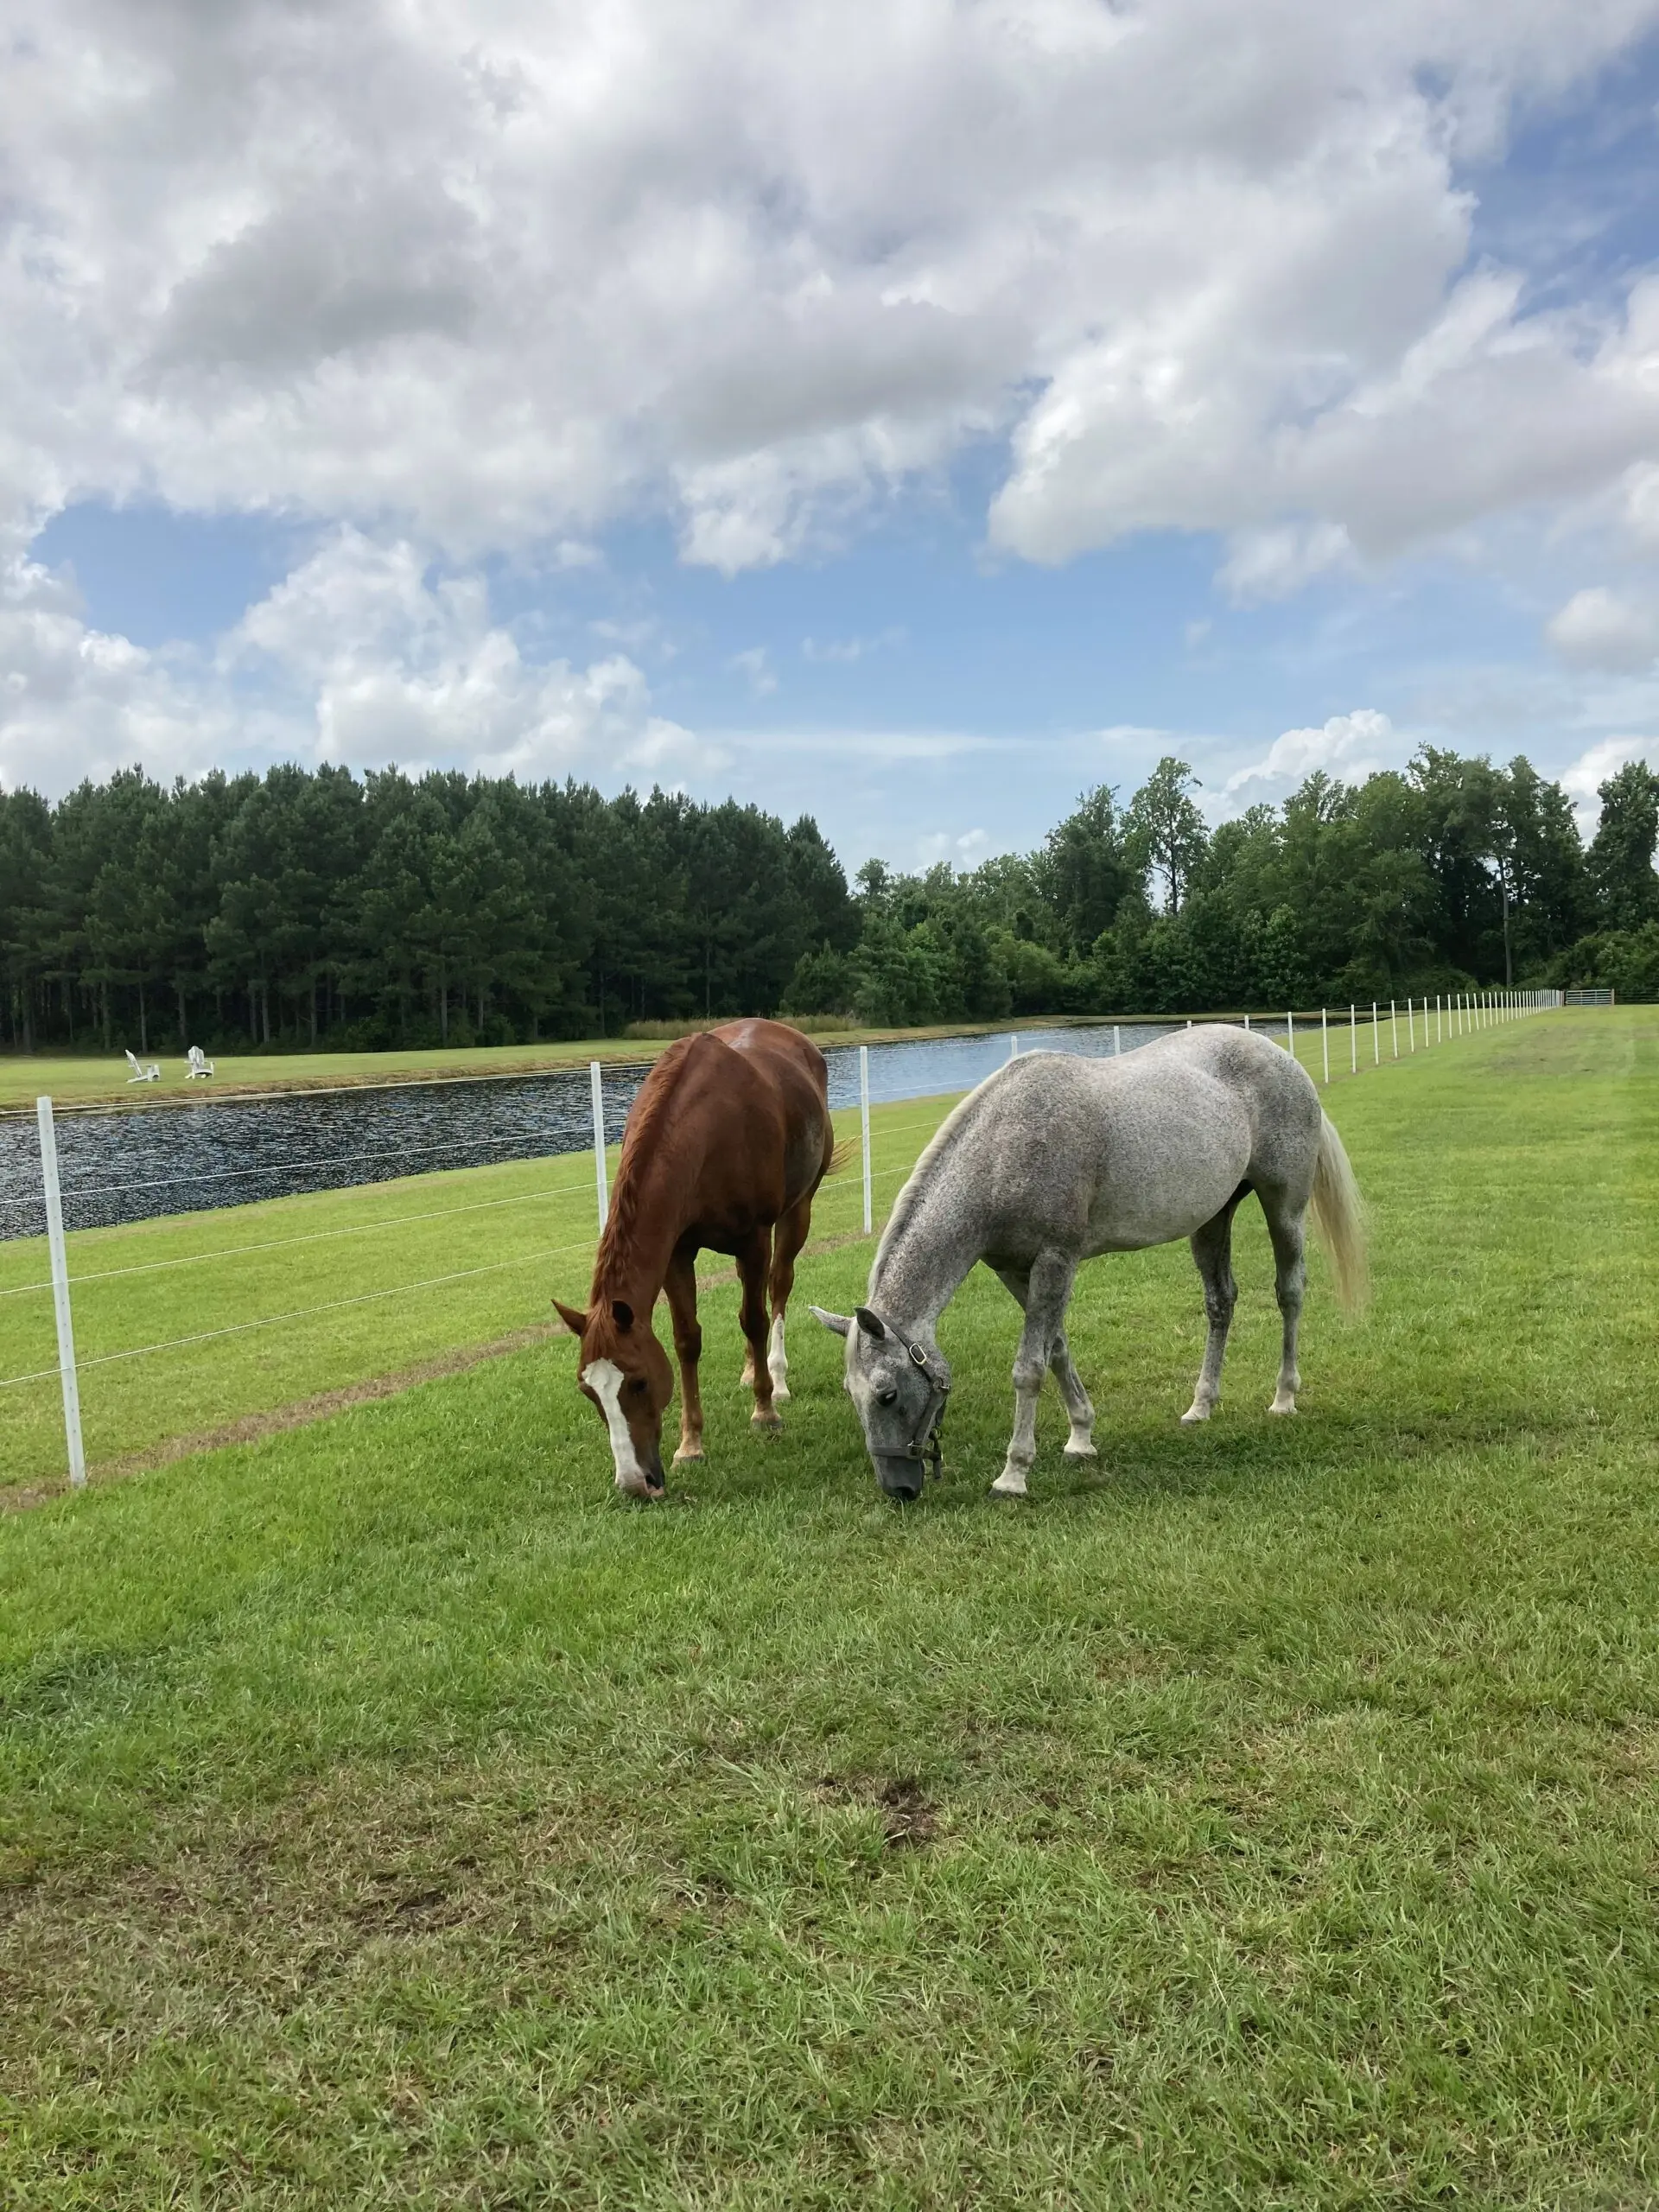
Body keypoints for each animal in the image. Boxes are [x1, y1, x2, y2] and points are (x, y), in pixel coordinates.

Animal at [559, 1021, 844, 1503]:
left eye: (638, 1382)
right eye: (587, 1391)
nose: (635, 1483)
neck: (702, 1131)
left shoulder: (754, 1239)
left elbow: (755, 1319)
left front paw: (765, 1413)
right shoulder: (677, 1252)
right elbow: (687, 1340)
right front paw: (690, 1444)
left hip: (797, 1212)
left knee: (778, 1289)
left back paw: (776, 1378)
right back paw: (750, 1370)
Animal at [814, 1021, 1371, 1503]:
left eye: (887, 1395)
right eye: (851, 1393)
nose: (899, 1489)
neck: (1006, 1149)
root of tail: (1282, 1057)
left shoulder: (1056, 1260)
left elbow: (1029, 1367)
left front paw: (1014, 1473)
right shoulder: (1015, 1270)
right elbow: (1057, 1348)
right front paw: (1080, 1436)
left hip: (1285, 1207)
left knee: (1290, 1291)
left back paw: (1283, 1397)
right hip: (1214, 1218)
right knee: (1220, 1302)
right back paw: (1201, 1405)